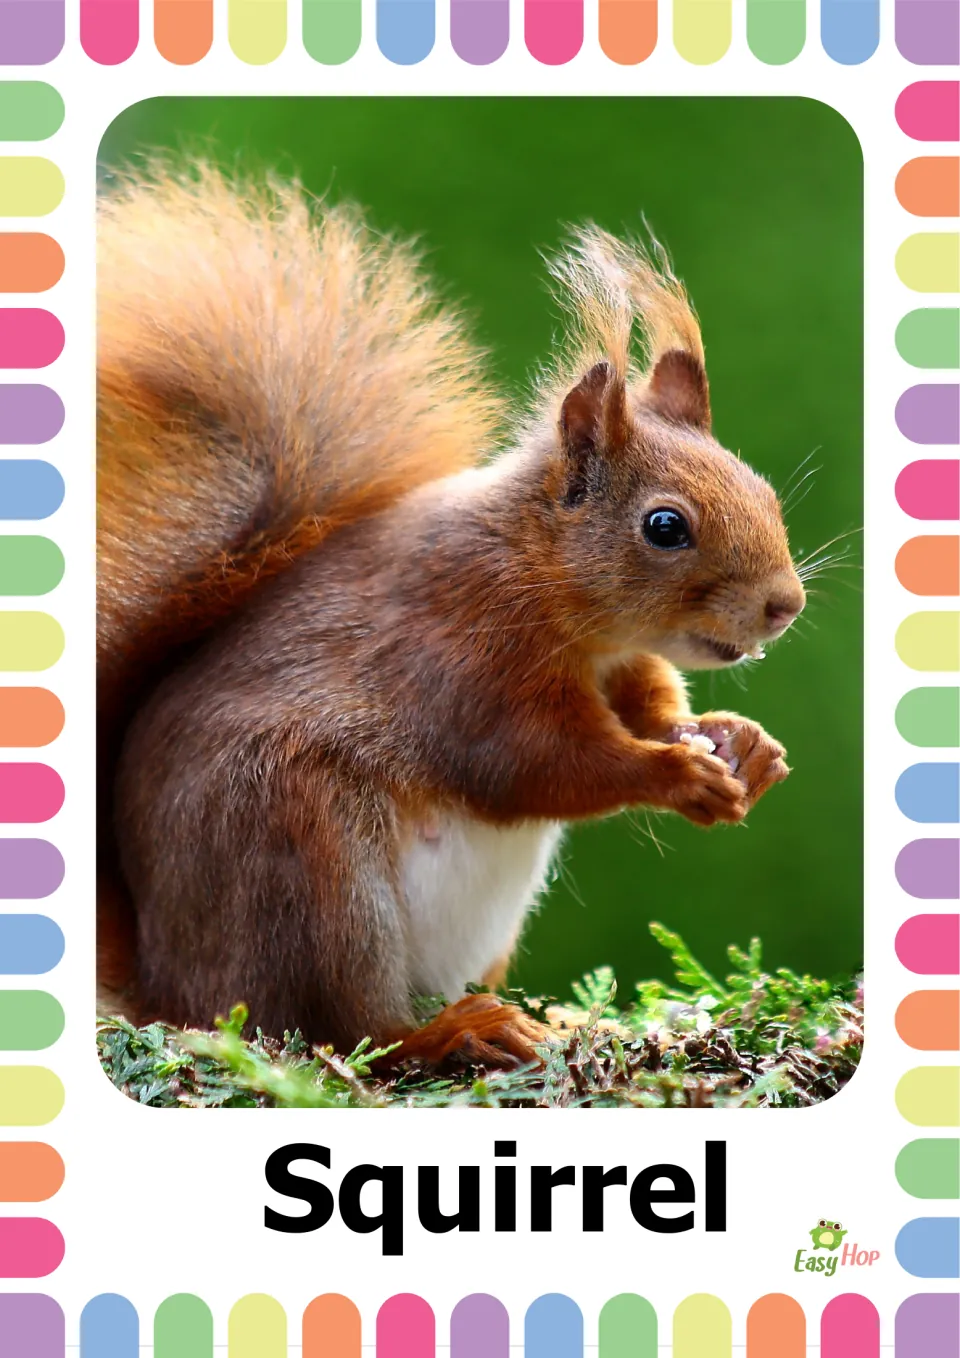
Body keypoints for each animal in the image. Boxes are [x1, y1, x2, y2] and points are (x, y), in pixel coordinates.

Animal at [97, 165, 806, 1067]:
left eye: (763, 491)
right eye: (665, 526)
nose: (784, 605)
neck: (559, 598)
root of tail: (170, 984)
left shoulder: (623, 664)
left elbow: (650, 708)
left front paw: (740, 743)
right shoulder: (463, 653)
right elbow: (536, 764)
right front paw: (677, 775)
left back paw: (563, 1021)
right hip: (308, 865)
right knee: (344, 1028)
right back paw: (452, 1032)